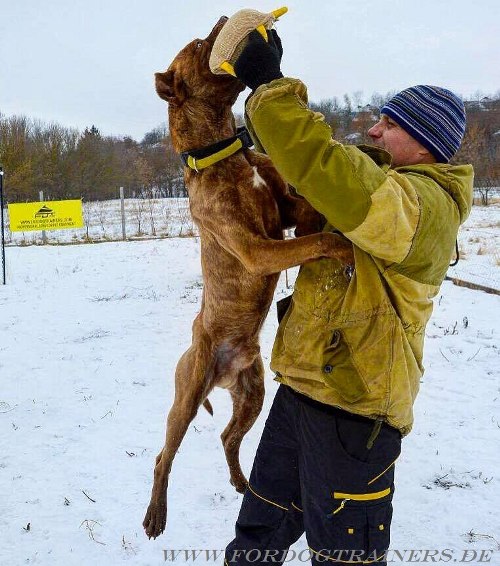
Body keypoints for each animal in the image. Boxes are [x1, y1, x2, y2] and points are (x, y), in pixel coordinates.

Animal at [143, 15, 354, 540]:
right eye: (200, 46)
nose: (220, 20)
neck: (224, 155)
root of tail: (222, 371)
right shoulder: (259, 248)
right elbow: (317, 242)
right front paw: (344, 246)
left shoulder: (291, 215)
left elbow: (310, 216)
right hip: (185, 398)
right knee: (164, 455)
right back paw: (155, 514)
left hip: (253, 395)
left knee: (226, 437)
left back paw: (242, 482)